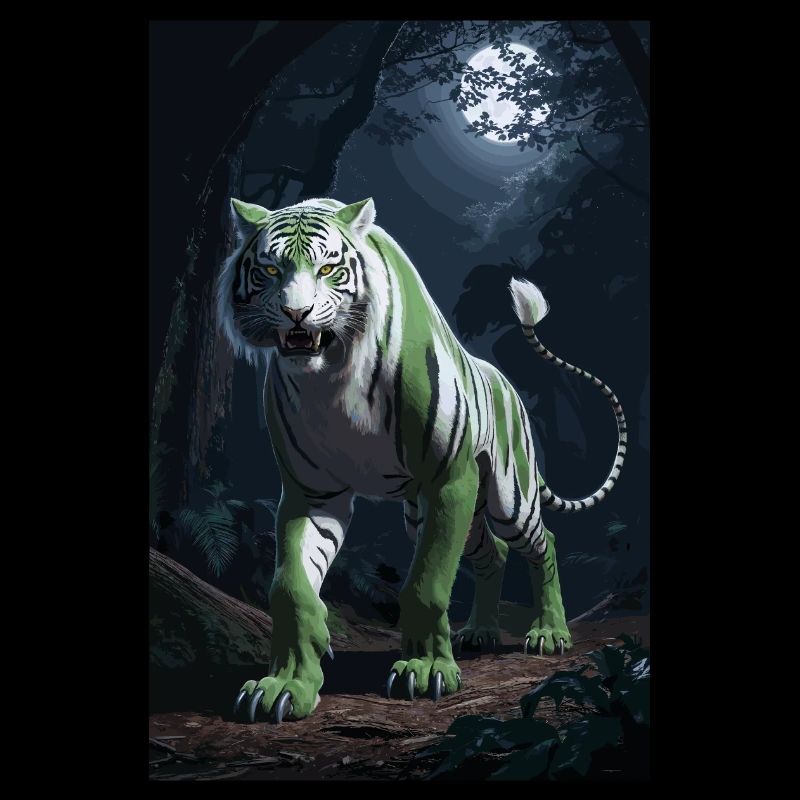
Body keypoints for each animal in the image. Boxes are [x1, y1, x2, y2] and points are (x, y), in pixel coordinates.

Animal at [219, 196, 626, 723]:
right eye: (270, 269)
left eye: (328, 268)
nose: (297, 313)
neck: (330, 376)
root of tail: (508, 385)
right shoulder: (312, 494)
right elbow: (290, 587)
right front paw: (286, 685)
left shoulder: (449, 480)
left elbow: (426, 583)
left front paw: (426, 668)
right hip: (451, 515)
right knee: (493, 554)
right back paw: (480, 632)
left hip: (505, 498)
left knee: (545, 544)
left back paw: (550, 634)